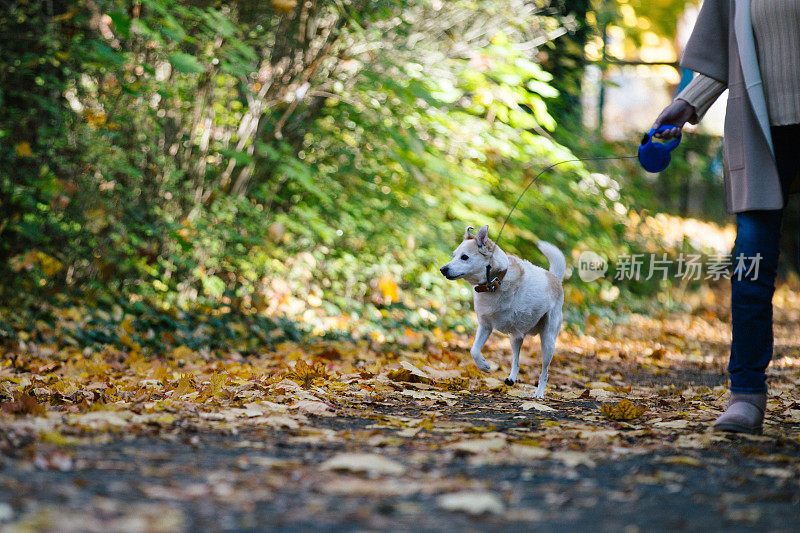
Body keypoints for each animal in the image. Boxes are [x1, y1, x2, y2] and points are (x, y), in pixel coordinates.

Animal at [440, 223, 564, 394]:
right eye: (453, 255)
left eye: (464, 257)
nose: (443, 269)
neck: (494, 282)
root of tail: (555, 278)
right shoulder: (485, 326)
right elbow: (474, 350)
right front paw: (483, 365)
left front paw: (484, 365)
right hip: (515, 339)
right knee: (516, 360)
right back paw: (511, 378)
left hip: (548, 341)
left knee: (544, 372)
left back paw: (539, 394)